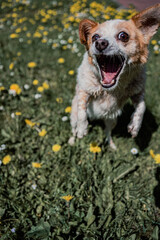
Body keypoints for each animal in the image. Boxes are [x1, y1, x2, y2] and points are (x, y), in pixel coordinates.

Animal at [69, 3, 160, 149]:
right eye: (94, 37)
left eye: (123, 36)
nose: (100, 43)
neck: (111, 88)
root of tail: (97, 117)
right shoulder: (84, 90)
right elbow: (82, 110)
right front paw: (82, 129)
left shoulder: (137, 92)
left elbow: (142, 107)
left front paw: (135, 126)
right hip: (73, 116)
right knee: (74, 128)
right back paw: (73, 139)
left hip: (112, 119)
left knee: (108, 131)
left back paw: (111, 145)